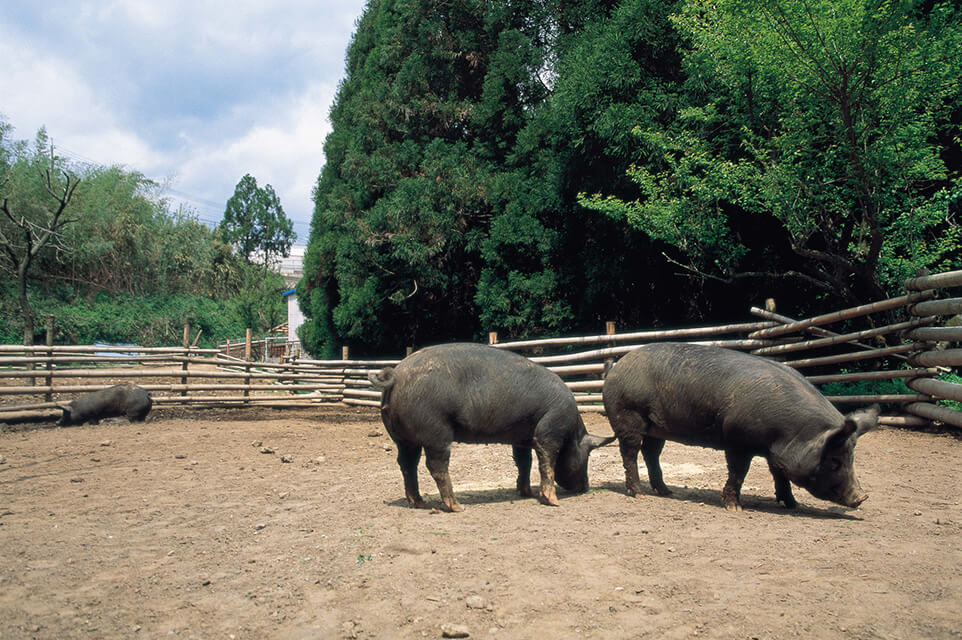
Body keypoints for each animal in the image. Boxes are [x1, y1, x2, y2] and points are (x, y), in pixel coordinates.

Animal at [364, 342, 612, 512]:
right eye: (587, 455)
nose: (585, 487)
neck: (572, 431)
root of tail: (396, 375)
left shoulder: (521, 438)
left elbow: (523, 462)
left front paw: (525, 493)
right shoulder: (548, 431)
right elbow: (546, 462)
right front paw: (553, 502)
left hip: (402, 438)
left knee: (407, 464)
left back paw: (419, 502)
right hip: (435, 432)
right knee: (435, 465)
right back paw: (457, 507)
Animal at [600, 342, 876, 512]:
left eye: (852, 457)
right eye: (834, 460)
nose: (862, 496)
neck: (791, 431)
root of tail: (616, 368)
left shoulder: (774, 452)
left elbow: (779, 474)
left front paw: (792, 504)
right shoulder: (737, 440)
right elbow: (738, 472)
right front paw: (735, 508)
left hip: (656, 427)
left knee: (651, 453)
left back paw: (667, 492)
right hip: (629, 415)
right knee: (630, 453)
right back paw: (639, 494)